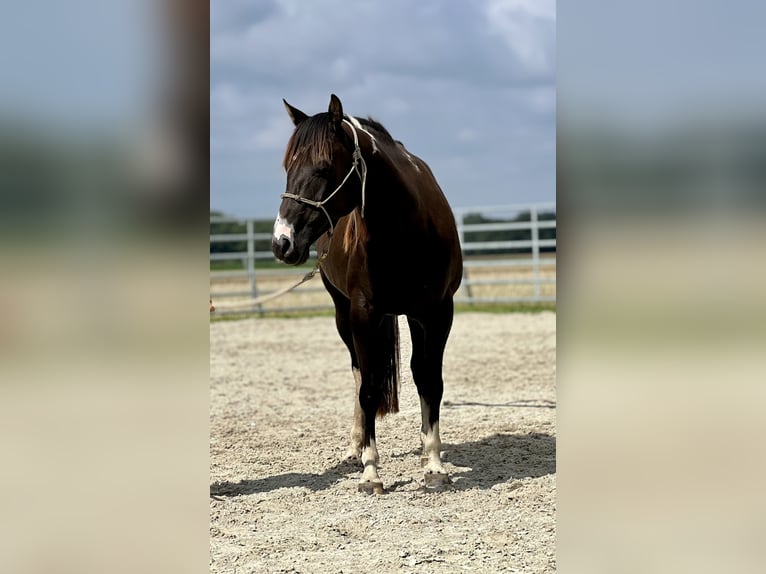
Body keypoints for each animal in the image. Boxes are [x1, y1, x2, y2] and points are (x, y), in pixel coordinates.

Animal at [272, 94, 463, 494]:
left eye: (323, 168)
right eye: (287, 166)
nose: (282, 242)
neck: (405, 229)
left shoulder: (437, 314)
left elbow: (430, 381)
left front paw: (434, 463)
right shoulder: (364, 314)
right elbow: (370, 388)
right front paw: (371, 471)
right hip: (343, 314)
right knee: (360, 373)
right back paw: (356, 448)